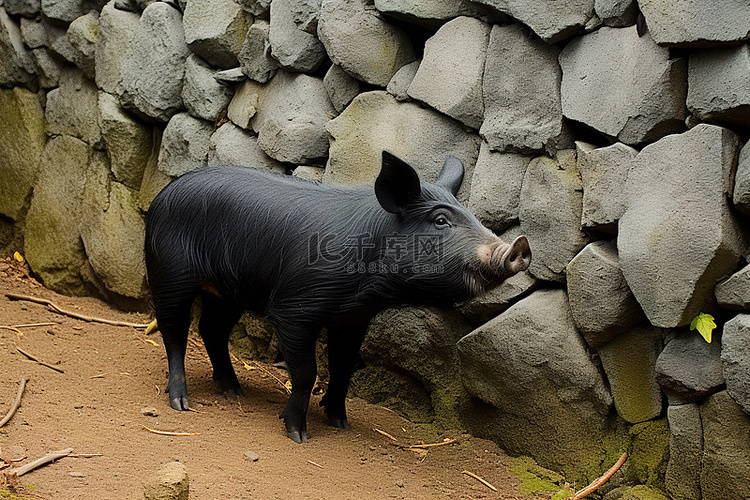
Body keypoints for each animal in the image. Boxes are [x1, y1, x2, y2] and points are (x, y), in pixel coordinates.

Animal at [147, 151, 532, 442]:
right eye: (440, 220)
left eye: (471, 215)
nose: (519, 245)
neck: (370, 285)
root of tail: (162, 194)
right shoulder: (295, 308)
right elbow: (307, 371)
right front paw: (297, 435)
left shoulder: (353, 317)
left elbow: (345, 366)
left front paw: (340, 423)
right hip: (169, 273)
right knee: (174, 330)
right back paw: (181, 402)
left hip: (227, 292)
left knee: (212, 330)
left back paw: (234, 391)